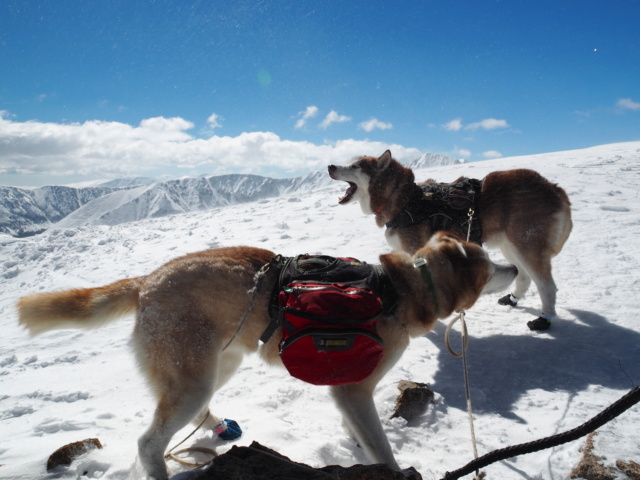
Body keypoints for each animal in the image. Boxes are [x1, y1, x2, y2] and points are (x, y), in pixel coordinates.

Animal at [328, 150, 572, 330]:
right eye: (349, 162)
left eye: (356, 166)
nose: (330, 166)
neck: (406, 200)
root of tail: (554, 188)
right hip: (509, 246)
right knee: (523, 275)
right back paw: (513, 298)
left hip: (527, 246)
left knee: (547, 286)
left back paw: (544, 319)